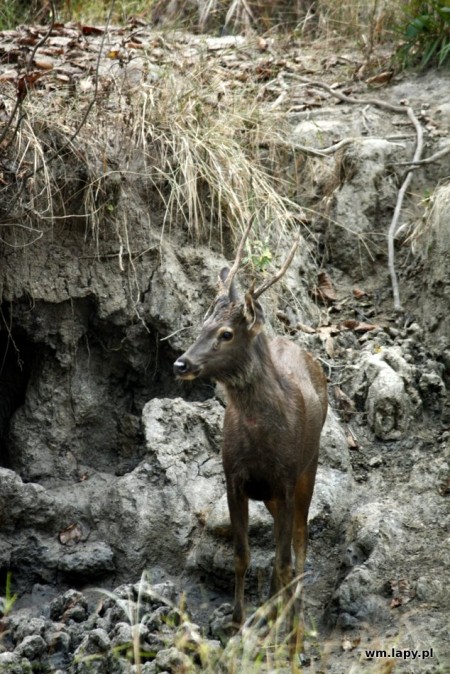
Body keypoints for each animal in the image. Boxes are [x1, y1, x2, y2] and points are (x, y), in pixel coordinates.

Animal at [172, 222, 326, 656]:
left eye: (226, 333)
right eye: (201, 326)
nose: (181, 363)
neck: (261, 441)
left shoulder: (286, 479)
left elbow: (283, 560)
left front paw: (286, 638)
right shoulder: (233, 477)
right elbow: (242, 556)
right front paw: (238, 625)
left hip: (309, 467)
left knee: (299, 544)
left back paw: (293, 627)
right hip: (273, 494)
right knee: (282, 545)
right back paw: (275, 618)